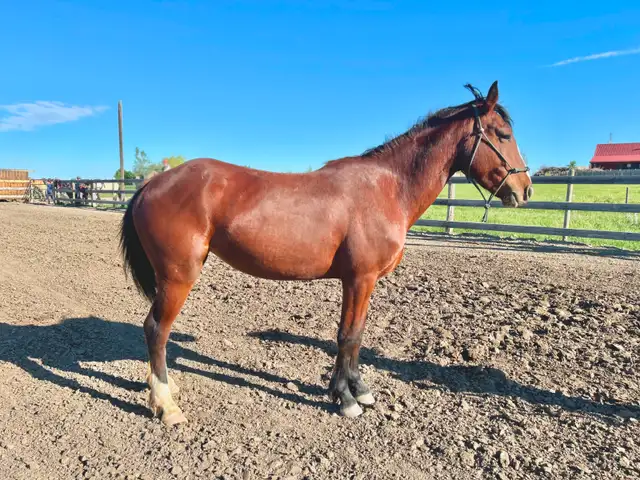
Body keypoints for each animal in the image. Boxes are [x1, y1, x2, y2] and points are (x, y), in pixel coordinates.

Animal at [120, 81, 533, 426]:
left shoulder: (360, 281)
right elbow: (348, 335)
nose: (525, 189)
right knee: (156, 329)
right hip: (178, 277)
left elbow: (356, 333)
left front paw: (358, 391)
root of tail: (151, 184)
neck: (387, 187)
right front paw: (345, 399)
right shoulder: (360, 279)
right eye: (504, 134)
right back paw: (166, 405)